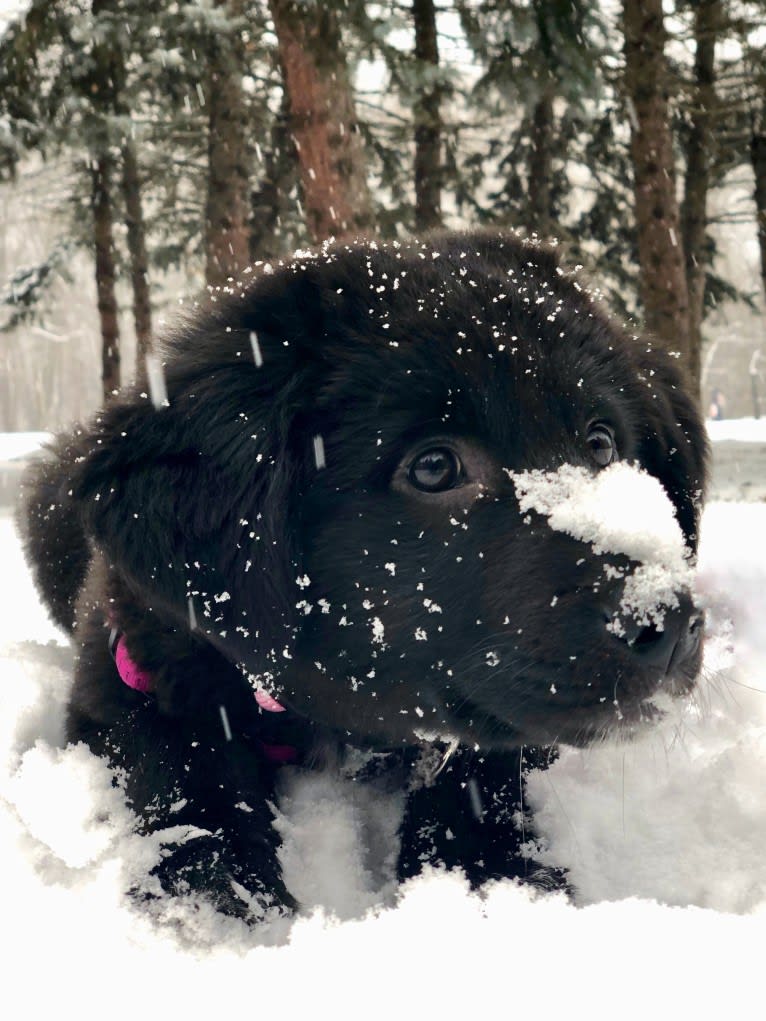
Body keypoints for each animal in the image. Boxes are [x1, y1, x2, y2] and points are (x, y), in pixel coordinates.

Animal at [22, 233, 706, 918]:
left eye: (601, 444)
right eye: (433, 467)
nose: (670, 627)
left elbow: (482, 759)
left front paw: (490, 877)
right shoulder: (131, 668)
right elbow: (176, 763)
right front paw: (217, 889)